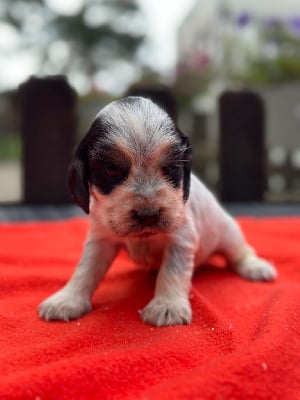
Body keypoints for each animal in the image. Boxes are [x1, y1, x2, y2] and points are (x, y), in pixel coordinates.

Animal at [38, 97, 278, 328]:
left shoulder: (181, 238)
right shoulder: (100, 238)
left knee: (240, 252)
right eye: (112, 170)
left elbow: (171, 271)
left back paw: (255, 267)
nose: (148, 214)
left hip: (227, 233)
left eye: (171, 168)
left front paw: (167, 306)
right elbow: (86, 269)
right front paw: (67, 299)